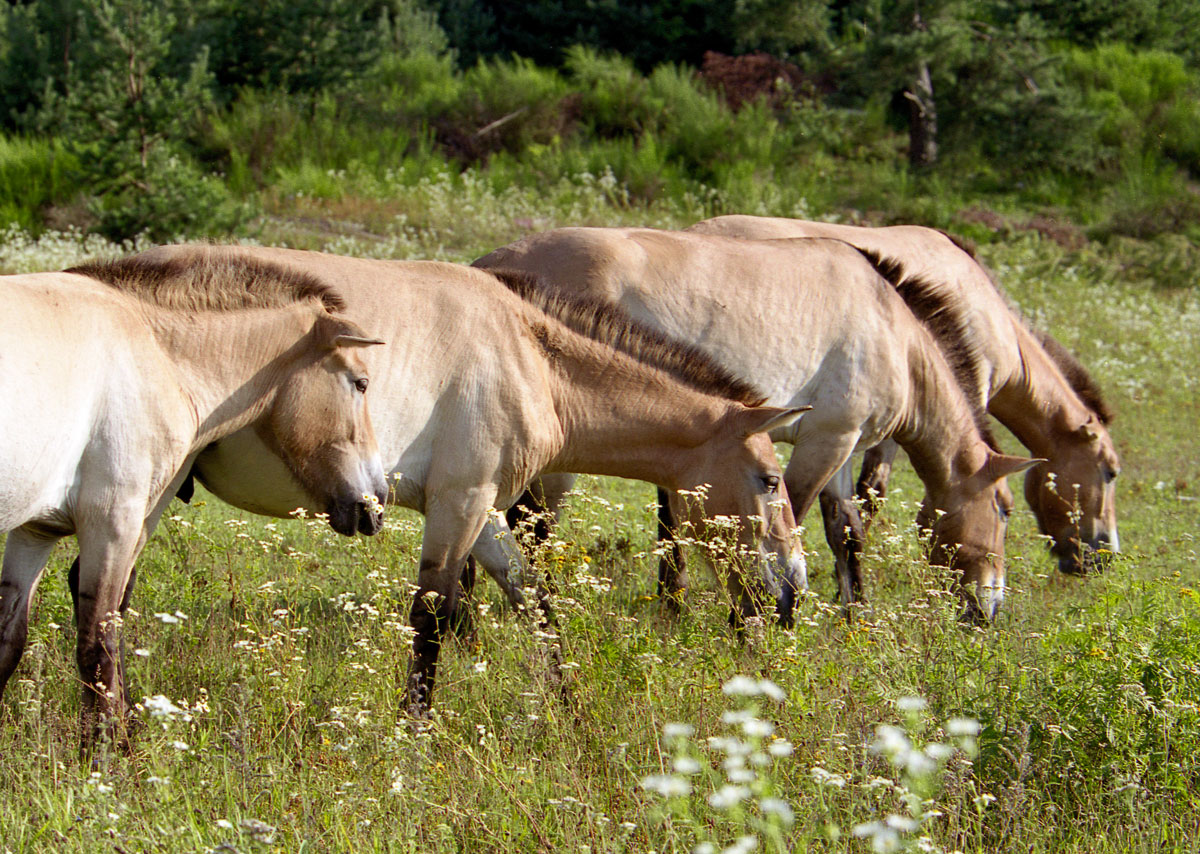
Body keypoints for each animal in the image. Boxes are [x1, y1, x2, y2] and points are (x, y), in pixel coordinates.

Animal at [0, 256, 386, 748]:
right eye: (361, 383)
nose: (376, 502)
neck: (152, 349)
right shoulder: (113, 523)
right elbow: (97, 648)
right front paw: (103, 758)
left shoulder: (34, 531)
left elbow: (8, 641)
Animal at [124, 242, 806, 714]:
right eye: (770, 481)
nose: (795, 589)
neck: (529, 356)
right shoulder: (459, 504)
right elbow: (432, 616)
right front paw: (414, 731)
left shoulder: (482, 510)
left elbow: (533, 598)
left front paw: (569, 708)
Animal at [470, 226, 1041, 618]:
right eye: (1005, 509)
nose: (989, 609)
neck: (892, 330)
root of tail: (488, 263)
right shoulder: (827, 440)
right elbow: (792, 515)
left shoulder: (842, 446)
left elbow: (847, 533)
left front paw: (854, 616)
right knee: (527, 528)